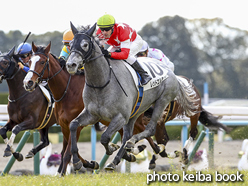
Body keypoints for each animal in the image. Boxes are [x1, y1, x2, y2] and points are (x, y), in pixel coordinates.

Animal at [63, 22, 198, 171]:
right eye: (71, 44)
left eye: (85, 44)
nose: (70, 65)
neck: (102, 83)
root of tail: (171, 72)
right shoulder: (92, 114)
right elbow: (73, 125)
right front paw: (77, 161)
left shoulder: (120, 117)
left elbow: (104, 137)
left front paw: (111, 148)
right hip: (137, 110)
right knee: (128, 134)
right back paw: (116, 159)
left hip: (162, 101)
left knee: (148, 130)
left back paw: (131, 144)